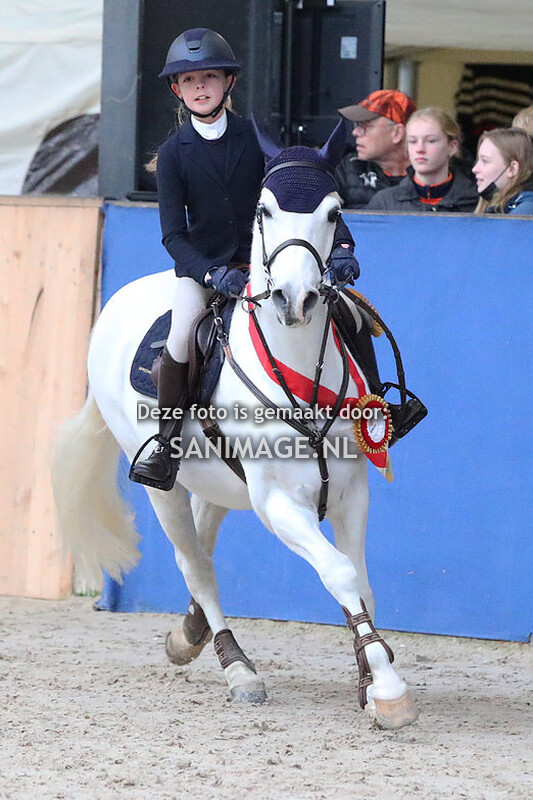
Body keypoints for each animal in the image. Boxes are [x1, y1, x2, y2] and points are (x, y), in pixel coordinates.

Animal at [52, 122, 419, 730]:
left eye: (335, 211)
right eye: (264, 210)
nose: (296, 299)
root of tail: (118, 301)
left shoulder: (351, 491)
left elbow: (362, 583)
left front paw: (372, 677)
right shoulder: (278, 504)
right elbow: (340, 573)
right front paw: (388, 691)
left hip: (218, 481)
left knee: (204, 544)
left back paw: (190, 634)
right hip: (163, 486)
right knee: (195, 563)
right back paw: (237, 668)